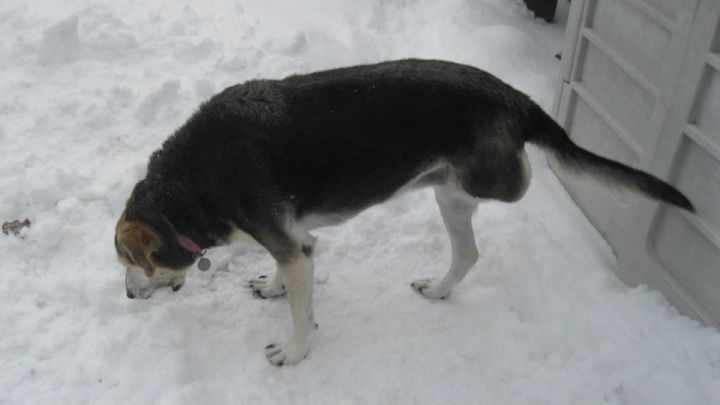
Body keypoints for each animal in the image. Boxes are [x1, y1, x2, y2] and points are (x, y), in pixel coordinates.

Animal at [115, 58, 696, 364]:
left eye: (128, 265)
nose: (126, 297)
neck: (188, 185)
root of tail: (514, 98)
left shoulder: (295, 246)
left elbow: (300, 311)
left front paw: (295, 350)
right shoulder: (292, 244)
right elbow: (283, 277)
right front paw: (272, 289)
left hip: (481, 181)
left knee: (522, 183)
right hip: (448, 197)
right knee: (468, 254)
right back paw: (438, 291)